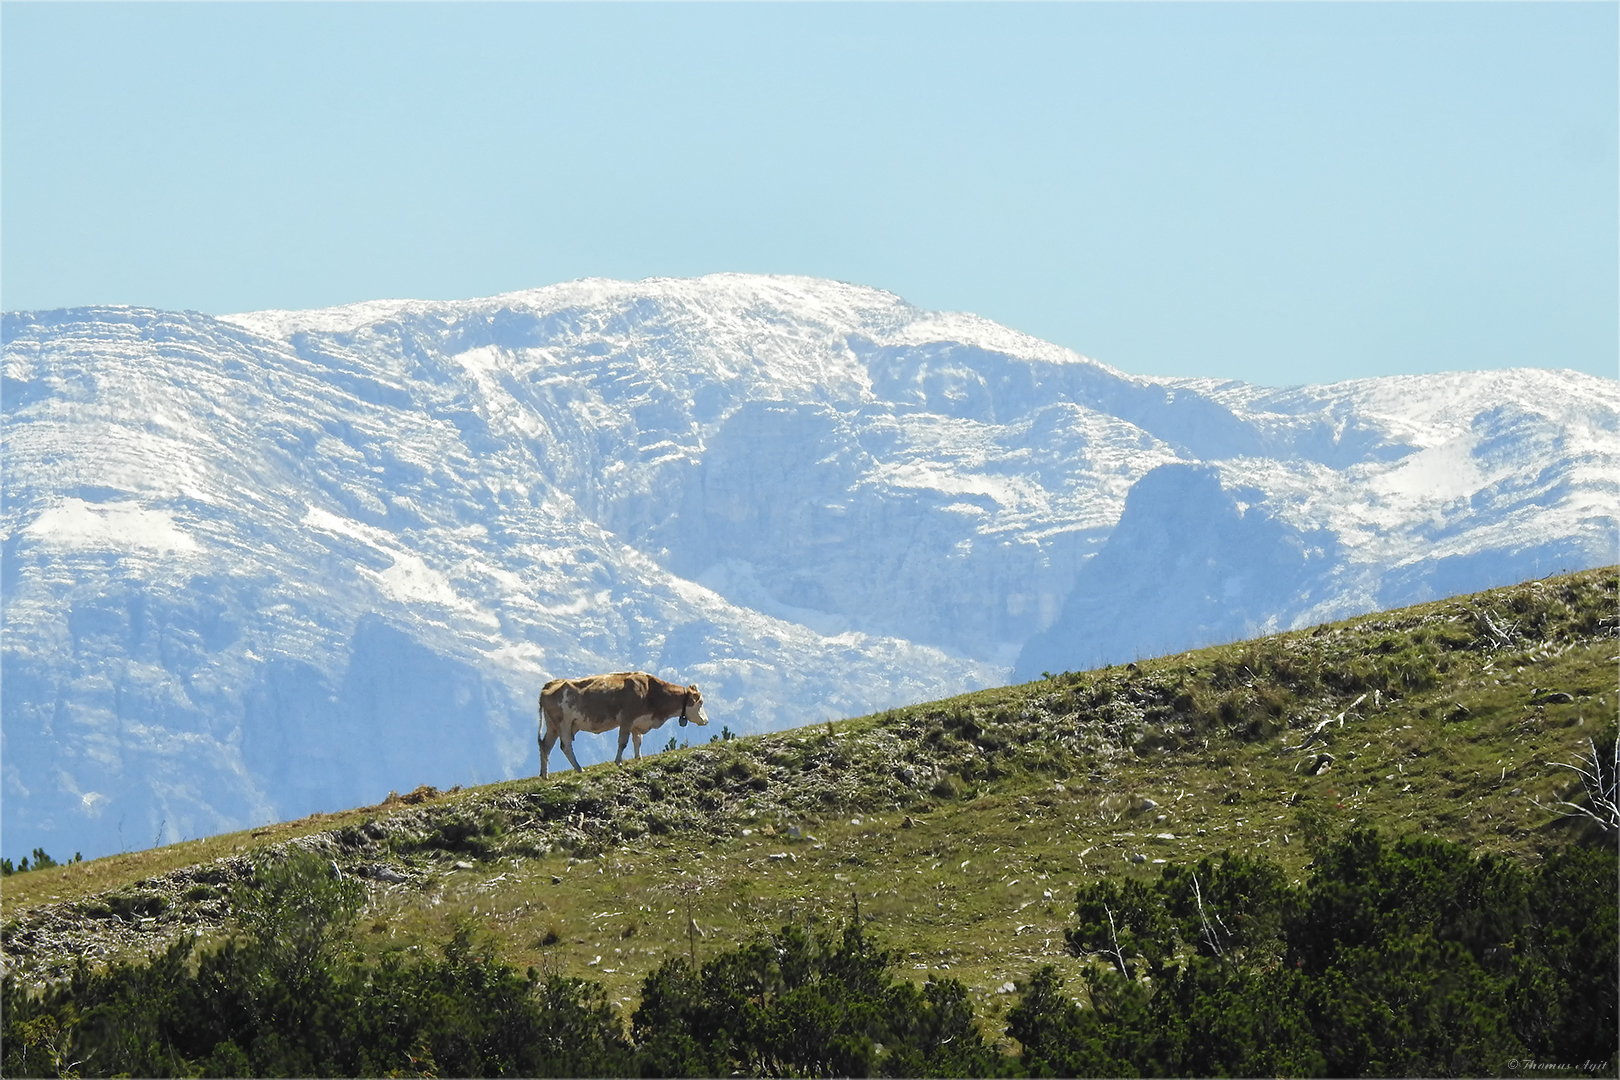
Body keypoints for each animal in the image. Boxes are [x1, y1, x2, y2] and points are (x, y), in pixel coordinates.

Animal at [537, 667, 709, 777]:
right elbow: (623, 742)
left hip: (552, 726)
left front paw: (638, 759)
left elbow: (637, 741)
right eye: (700, 702)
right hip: (563, 723)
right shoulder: (627, 719)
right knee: (565, 745)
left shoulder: (637, 723)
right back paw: (579, 769)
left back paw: (545, 775)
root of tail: (549, 684)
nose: (706, 721)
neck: (651, 692)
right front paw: (618, 762)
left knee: (545, 745)